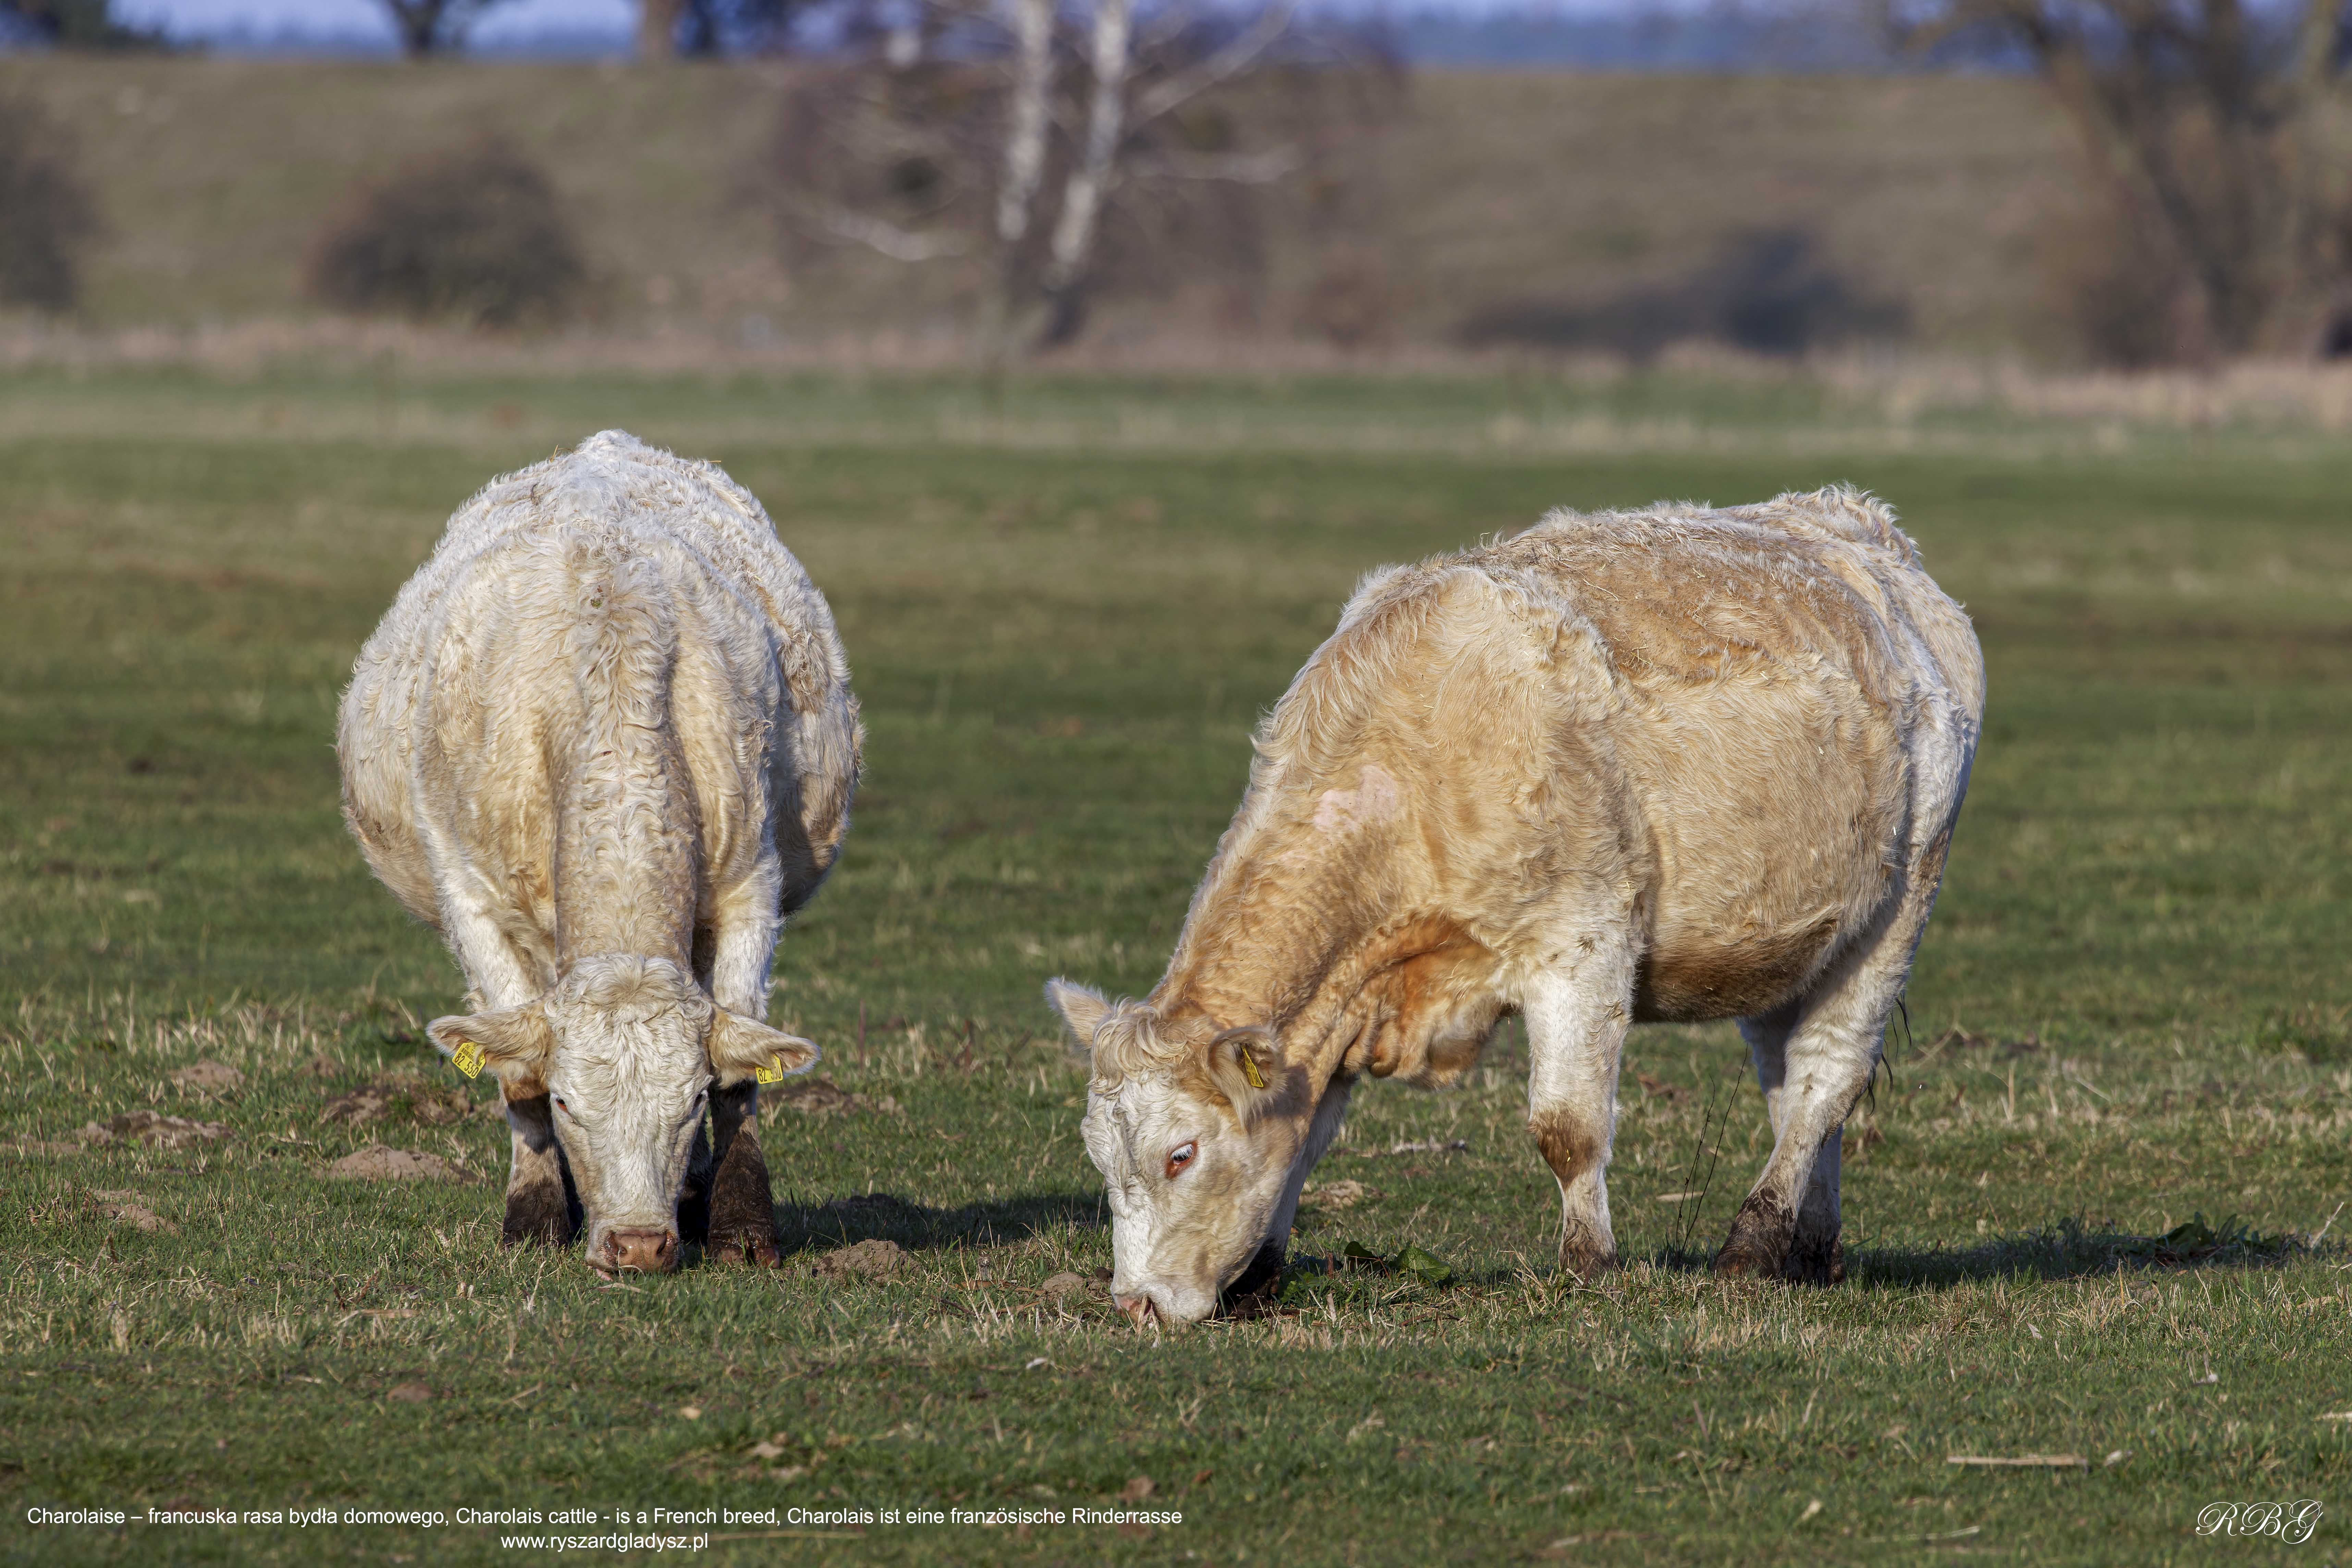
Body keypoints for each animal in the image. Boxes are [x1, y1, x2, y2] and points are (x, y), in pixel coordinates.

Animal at [338, 430, 861, 1275]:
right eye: (566, 1102)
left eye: (686, 1103)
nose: (640, 1244)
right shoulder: (474, 905)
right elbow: (514, 1069)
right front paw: (535, 1216)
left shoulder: (750, 885)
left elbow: (741, 1072)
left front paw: (741, 1226)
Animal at [1047, 487, 1982, 1325]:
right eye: (1097, 1154)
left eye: (1180, 1154)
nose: (1134, 1302)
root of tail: (1859, 526)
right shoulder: (1340, 1007)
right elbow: (1306, 1133)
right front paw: (1263, 1271)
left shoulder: (1583, 944)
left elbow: (1566, 1126)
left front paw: (1590, 1265)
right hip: (1792, 940)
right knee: (1791, 1088)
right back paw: (1810, 1246)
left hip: (1898, 906)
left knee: (1828, 1074)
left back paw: (1753, 1246)